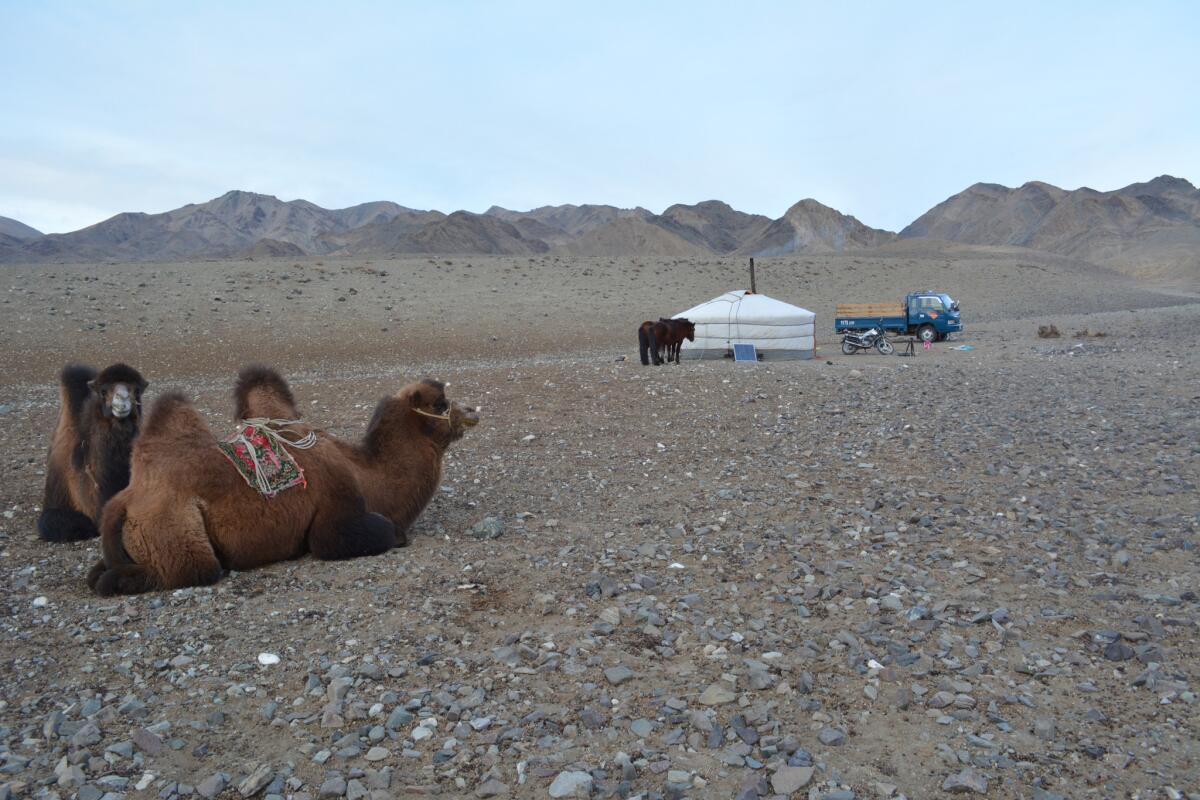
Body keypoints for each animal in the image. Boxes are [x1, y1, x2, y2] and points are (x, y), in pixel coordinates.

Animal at [87, 367, 477, 594]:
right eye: (440, 404)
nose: (472, 411)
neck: (367, 475)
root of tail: (123, 501)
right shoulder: (335, 514)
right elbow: (376, 532)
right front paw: (396, 534)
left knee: (99, 571)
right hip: (176, 534)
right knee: (189, 570)